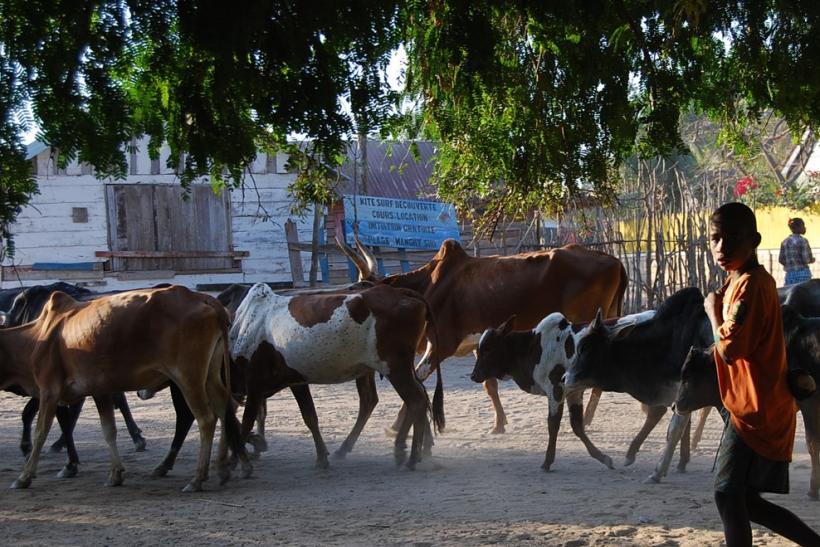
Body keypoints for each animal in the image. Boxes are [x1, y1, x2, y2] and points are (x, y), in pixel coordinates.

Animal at [0, 286, 250, 492]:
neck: (38, 337)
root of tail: (204, 299)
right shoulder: (99, 390)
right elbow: (108, 430)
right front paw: (115, 474)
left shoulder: (49, 391)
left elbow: (41, 431)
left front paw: (24, 476)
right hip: (209, 374)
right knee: (224, 407)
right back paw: (222, 469)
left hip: (187, 376)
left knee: (205, 418)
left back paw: (197, 478)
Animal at [227, 282, 446, 470]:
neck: (243, 325)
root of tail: (402, 292)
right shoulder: (296, 381)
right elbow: (309, 416)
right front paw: (321, 456)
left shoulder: (254, 383)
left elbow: (246, 421)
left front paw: (235, 460)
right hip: (396, 369)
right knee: (413, 398)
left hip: (395, 368)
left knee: (415, 401)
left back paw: (408, 456)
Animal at [340, 238, 628, 434]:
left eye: (363, 288)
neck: (429, 285)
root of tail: (614, 261)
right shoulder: (479, 344)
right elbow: (489, 385)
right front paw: (499, 424)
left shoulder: (441, 344)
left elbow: (419, 377)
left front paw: (396, 426)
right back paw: (588, 417)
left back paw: (586, 418)